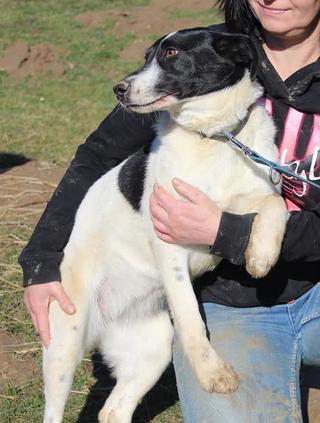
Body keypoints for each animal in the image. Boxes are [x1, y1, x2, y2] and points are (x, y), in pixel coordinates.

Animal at [41, 28, 288, 422]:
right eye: (146, 56)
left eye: (171, 53)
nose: (118, 89)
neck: (213, 137)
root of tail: (106, 320)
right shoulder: (169, 246)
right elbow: (190, 319)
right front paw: (211, 372)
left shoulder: (255, 193)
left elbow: (276, 204)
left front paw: (261, 256)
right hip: (65, 341)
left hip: (151, 349)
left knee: (112, 411)